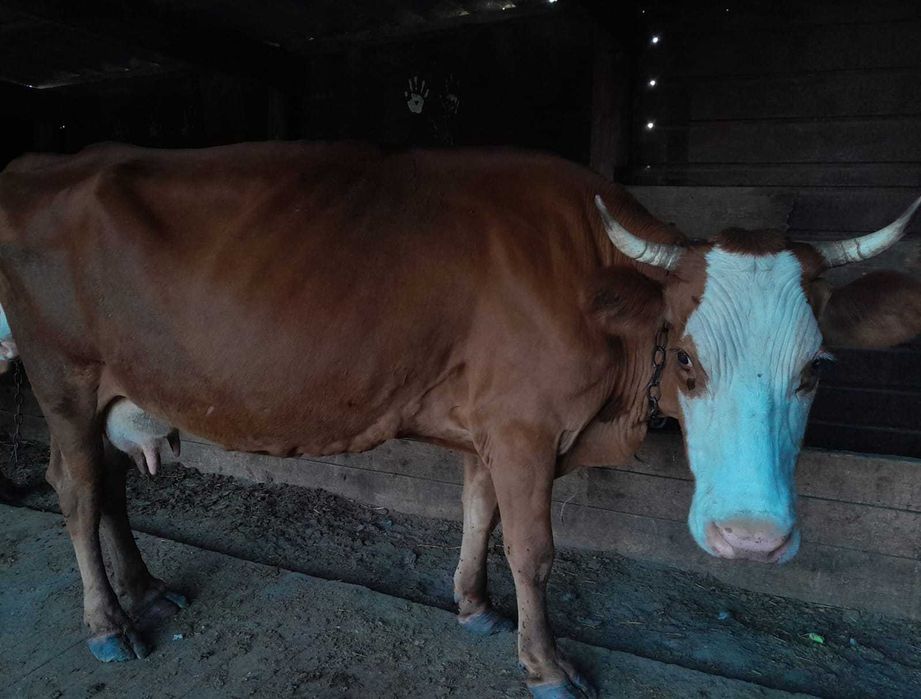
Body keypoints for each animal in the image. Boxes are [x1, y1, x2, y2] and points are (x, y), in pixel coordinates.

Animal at [0, 141, 919, 698]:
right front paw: (545, 664)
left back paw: (149, 588)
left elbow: (479, 514)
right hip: (62, 379)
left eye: (814, 368)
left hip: (119, 386)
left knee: (112, 486)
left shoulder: (492, 425)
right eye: (687, 360)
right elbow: (533, 550)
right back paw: (109, 625)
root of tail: (45, 163)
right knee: (75, 490)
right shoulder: (524, 426)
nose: (749, 538)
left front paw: (474, 605)